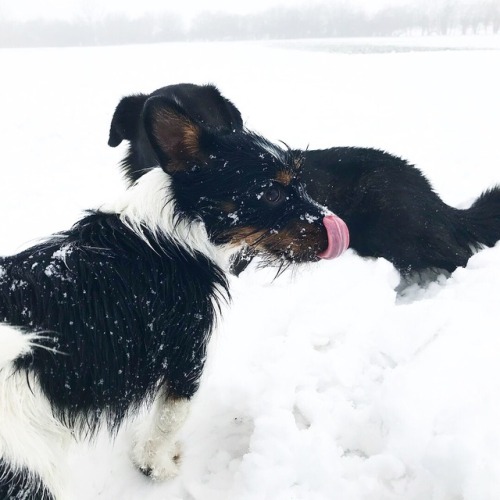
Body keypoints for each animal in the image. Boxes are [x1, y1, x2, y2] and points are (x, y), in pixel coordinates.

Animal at [0, 95, 348, 498]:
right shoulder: (187, 358)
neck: (177, 225)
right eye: (272, 193)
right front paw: (156, 466)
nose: (338, 228)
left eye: (301, 183)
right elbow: (168, 421)